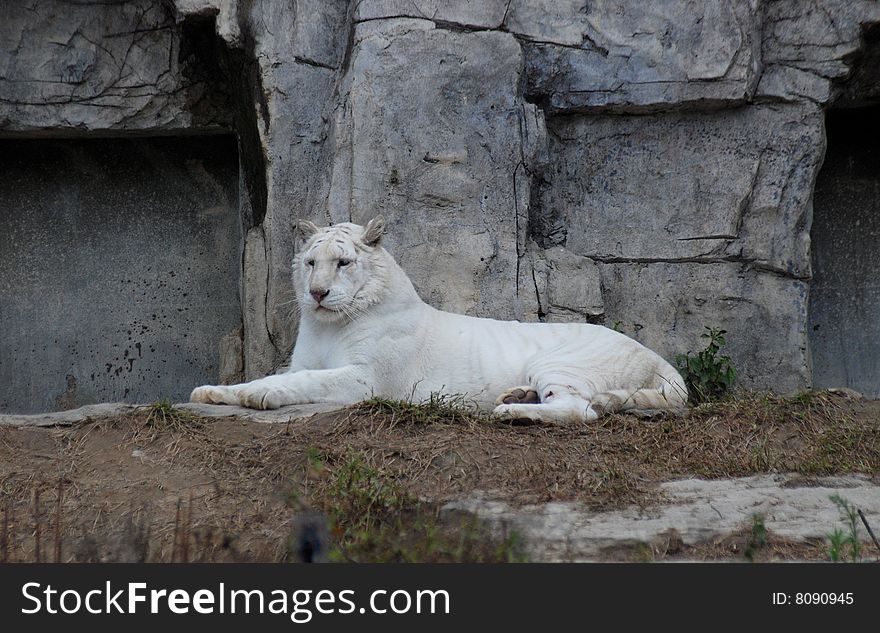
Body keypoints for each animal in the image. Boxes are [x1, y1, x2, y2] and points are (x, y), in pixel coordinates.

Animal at [191, 217, 688, 424]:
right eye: (311, 263)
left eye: (343, 263)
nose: (316, 293)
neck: (327, 324)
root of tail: (654, 356)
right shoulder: (305, 359)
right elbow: (273, 375)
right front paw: (213, 392)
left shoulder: (368, 379)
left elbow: (302, 382)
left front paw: (259, 396)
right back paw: (516, 394)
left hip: (561, 362)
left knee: (581, 410)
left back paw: (510, 410)